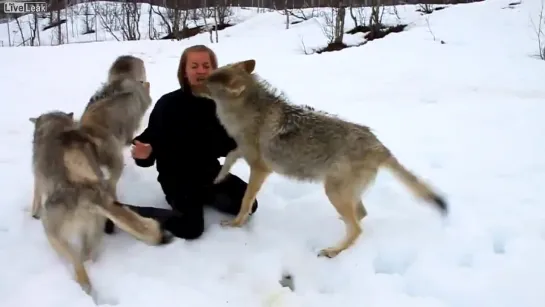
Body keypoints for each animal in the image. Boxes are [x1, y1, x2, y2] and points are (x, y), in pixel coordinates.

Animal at [29, 110, 169, 298]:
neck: (58, 125)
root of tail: (91, 193)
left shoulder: (37, 180)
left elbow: (35, 198)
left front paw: (33, 214)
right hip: (92, 229)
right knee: (88, 256)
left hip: (53, 234)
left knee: (79, 265)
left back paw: (84, 287)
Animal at [191, 58, 446, 260]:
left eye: (206, 81)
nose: (189, 86)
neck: (246, 114)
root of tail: (379, 145)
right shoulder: (243, 151)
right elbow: (230, 156)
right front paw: (219, 177)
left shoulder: (260, 168)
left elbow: (245, 202)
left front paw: (235, 224)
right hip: (341, 193)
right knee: (360, 215)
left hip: (332, 190)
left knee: (357, 228)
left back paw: (333, 251)